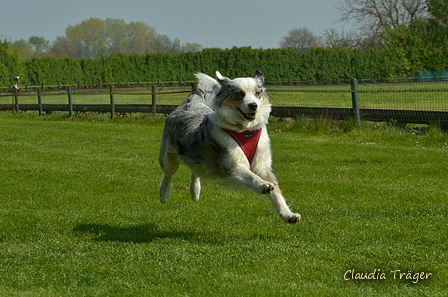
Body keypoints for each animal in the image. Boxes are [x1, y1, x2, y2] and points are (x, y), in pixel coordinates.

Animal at [158, 69, 300, 222]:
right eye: (239, 94)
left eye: (257, 93)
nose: (253, 105)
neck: (245, 130)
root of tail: (188, 105)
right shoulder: (233, 164)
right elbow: (251, 176)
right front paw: (263, 185)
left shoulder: (263, 165)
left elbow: (277, 193)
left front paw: (288, 215)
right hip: (168, 157)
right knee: (168, 173)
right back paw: (164, 194)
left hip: (202, 161)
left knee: (195, 170)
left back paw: (195, 192)